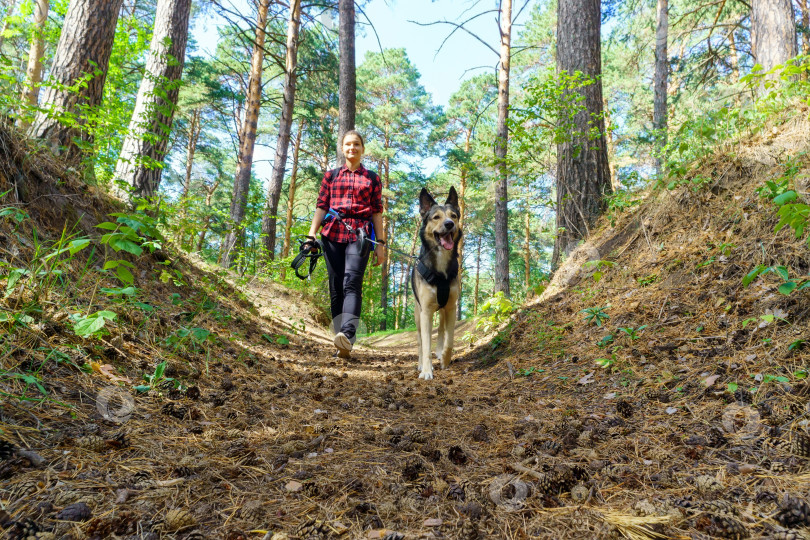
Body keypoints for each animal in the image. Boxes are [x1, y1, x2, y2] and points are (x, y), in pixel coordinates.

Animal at [410, 188, 460, 382]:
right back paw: (420, 363)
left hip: (443, 310)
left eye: (454, 216)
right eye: (436, 217)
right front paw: (426, 370)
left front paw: (445, 359)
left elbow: (450, 339)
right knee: (419, 340)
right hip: (418, 314)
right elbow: (425, 344)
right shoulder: (426, 312)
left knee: (441, 330)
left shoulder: (452, 307)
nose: (449, 224)